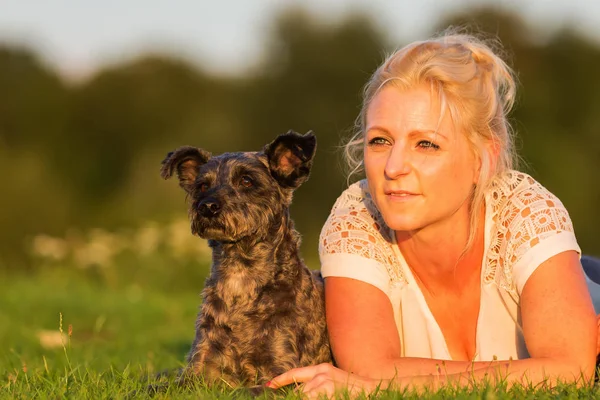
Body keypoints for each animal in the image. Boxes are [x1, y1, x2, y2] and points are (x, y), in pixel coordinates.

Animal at [162, 131, 330, 388]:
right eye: (202, 185)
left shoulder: (281, 372)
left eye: (247, 181)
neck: (240, 275)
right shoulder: (198, 369)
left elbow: (248, 391)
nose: (207, 206)